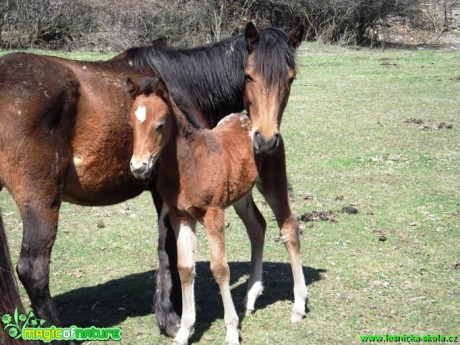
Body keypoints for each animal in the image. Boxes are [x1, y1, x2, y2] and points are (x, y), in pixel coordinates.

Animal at [0, 22, 306, 342]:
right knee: (33, 269)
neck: (186, 84)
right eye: (249, 75)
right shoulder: (169, 197)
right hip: (40, 201)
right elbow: (168, 249)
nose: (265, 140)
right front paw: (173, 318)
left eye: (290, 78)